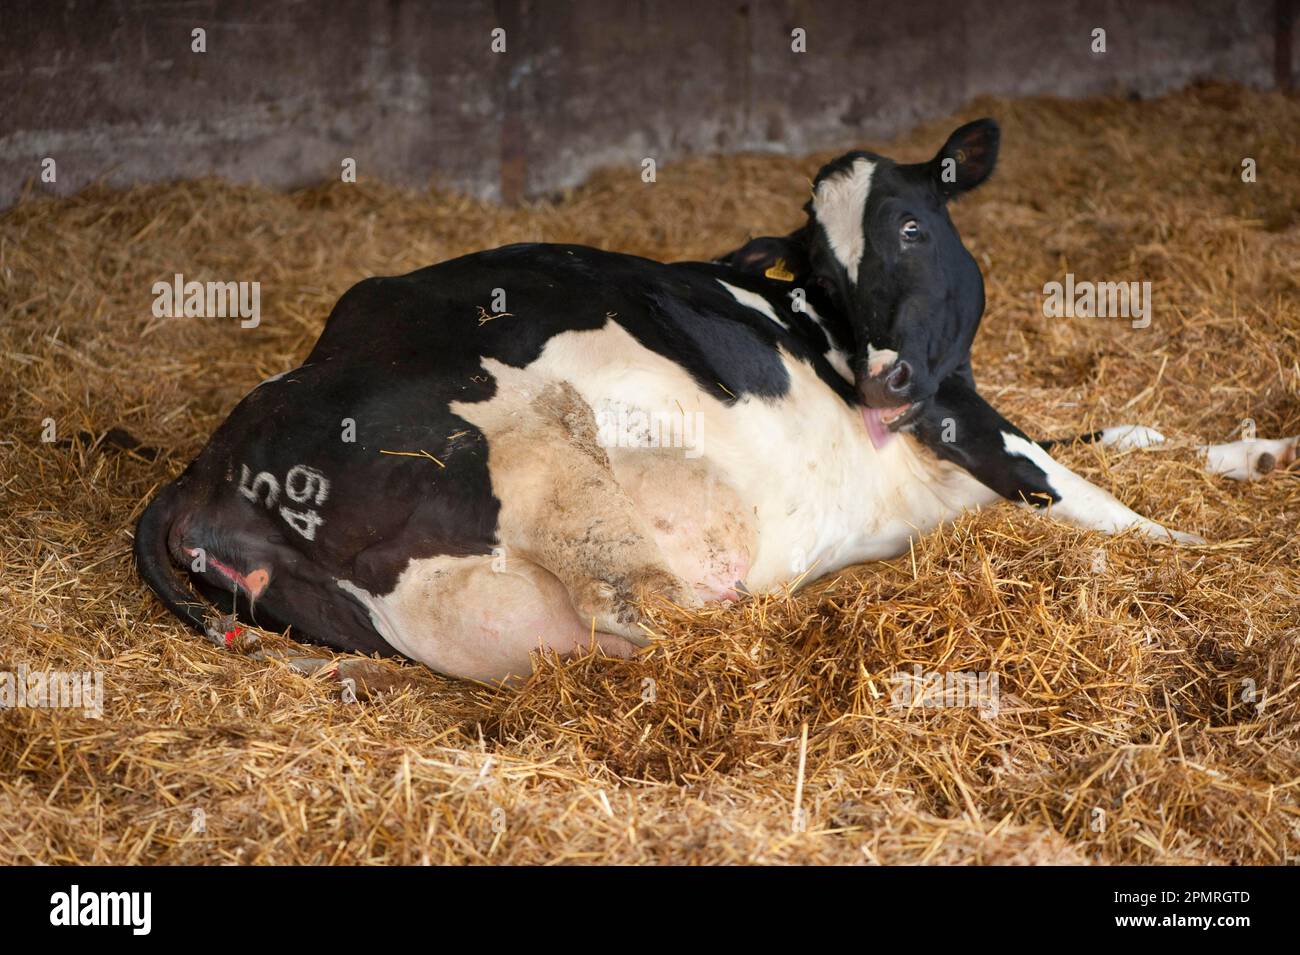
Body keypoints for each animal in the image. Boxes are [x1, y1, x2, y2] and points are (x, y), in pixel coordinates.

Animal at [135, 119, 1291, 683]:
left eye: (913, 226)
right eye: (819, 264)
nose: (880, 379)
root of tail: (203, 468)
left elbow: (1117, 434)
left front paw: (1259, 452)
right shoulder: (961, 415)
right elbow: (1096, 495)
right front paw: (1206, 550)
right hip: (537, 453)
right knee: (651, 612)